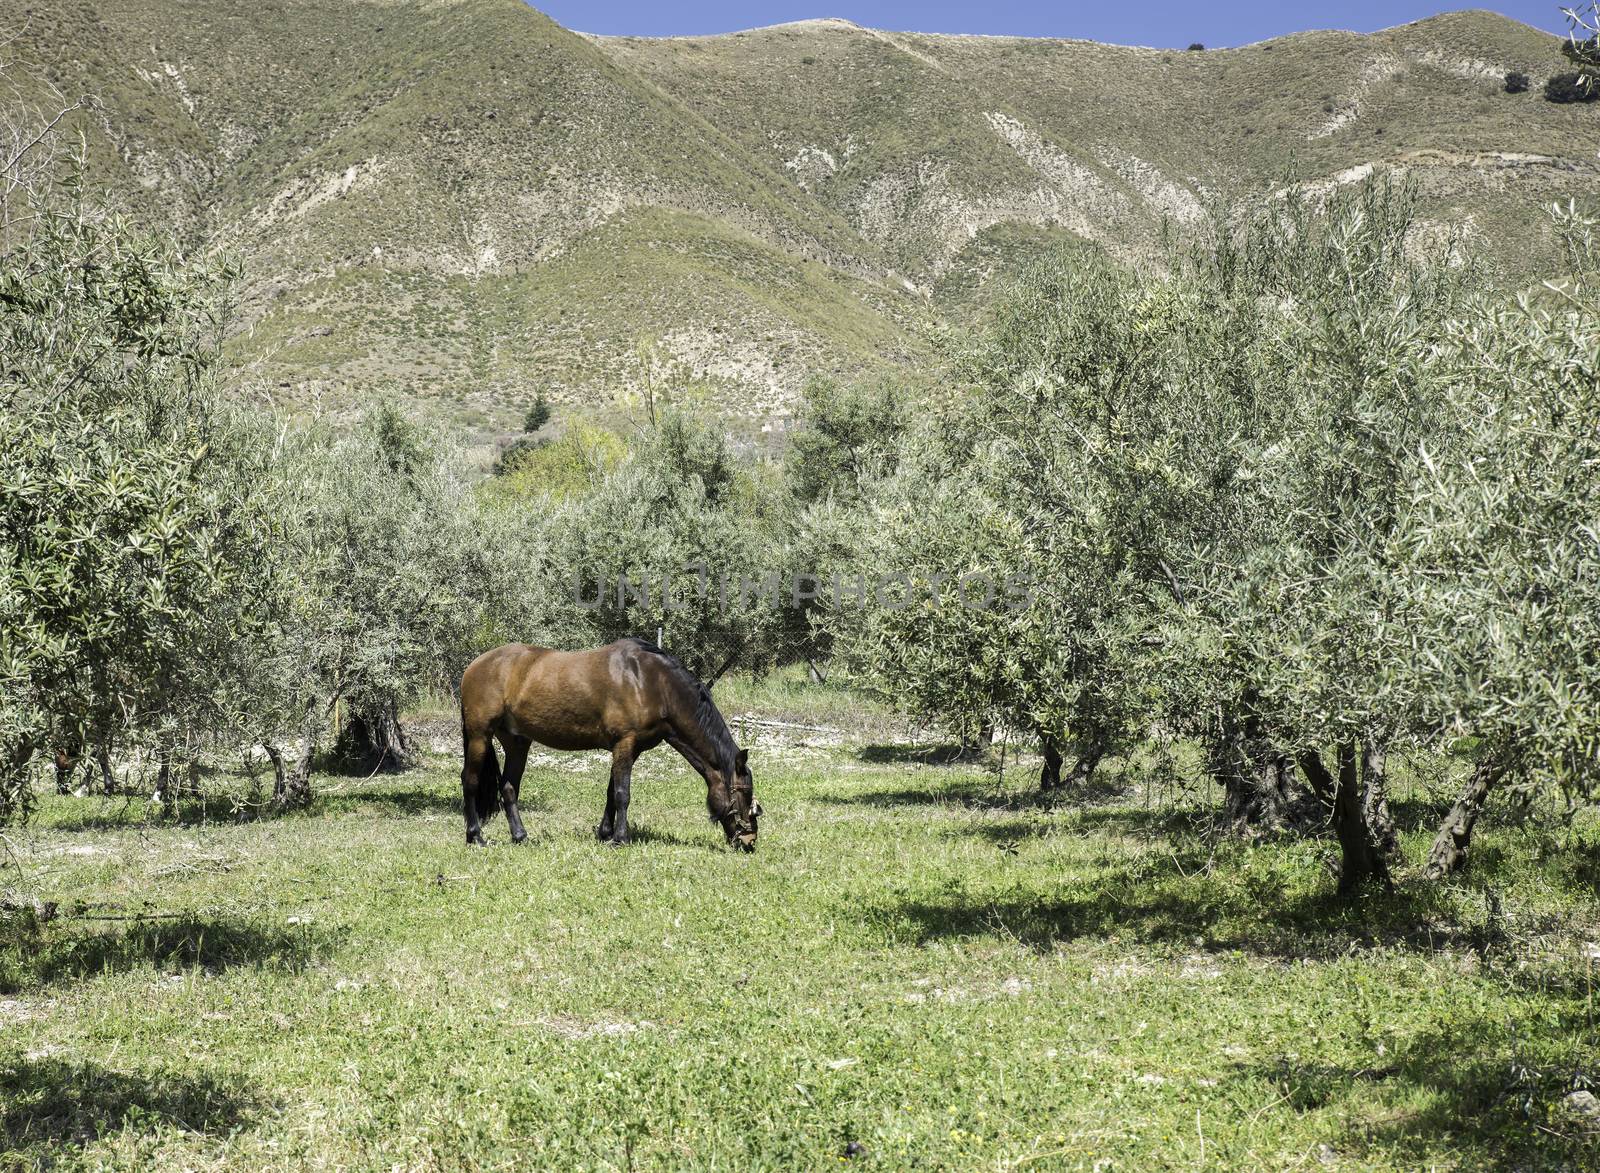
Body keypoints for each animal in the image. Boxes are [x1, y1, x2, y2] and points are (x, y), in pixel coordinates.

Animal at [457, 636, 761, 844]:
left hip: (517, 742)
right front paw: (620, 838)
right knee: (469, 781)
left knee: (509, 787)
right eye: (744, 794)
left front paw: (605, 833)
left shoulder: (629, 749)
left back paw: (520, 836)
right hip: (480, 735)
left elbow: (611, 792)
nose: (749, 840)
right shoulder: (624, 743)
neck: (652, 682)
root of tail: (474, 666)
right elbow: (622, 793)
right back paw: (475, 836)